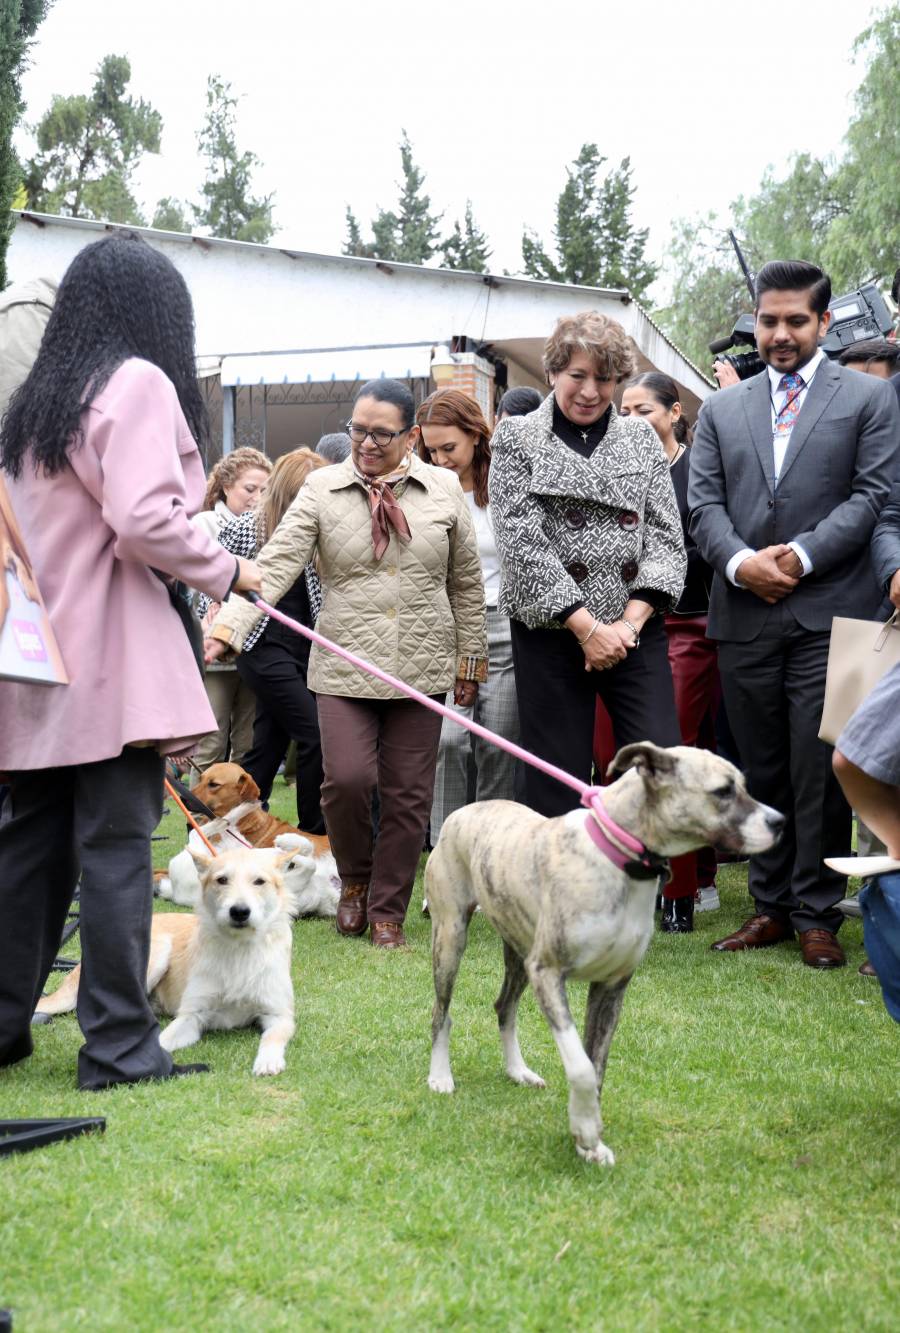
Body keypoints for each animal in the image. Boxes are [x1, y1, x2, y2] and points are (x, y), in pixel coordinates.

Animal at [37, 847, 296, 1077]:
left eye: (259, 882)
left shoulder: (280, 1016)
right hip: (159, 952)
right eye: (222, 880)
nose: (239, 911)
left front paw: (268, 1061)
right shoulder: (192, 1015)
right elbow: (163, 1038)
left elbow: (271, 1038)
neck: (239, 949)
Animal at [424, 746, 784, 1173]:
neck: (618, 858)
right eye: (723, 791)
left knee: (504, 1006)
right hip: (451, 938)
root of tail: (462, 812)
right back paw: (440, 1076)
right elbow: (580, 1067)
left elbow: (596, 1068)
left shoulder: (611, 987)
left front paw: (588, 1140)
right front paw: (585, 1130)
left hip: (517, 947)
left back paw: (518, 1071)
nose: (780, 822)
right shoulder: (549, 973)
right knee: (442, 1012)